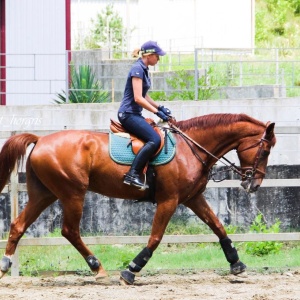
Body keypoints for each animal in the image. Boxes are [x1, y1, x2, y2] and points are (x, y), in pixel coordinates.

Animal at [0, 113, 276, 284]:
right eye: (265, 150)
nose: (254, 184)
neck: (190, 148)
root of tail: (40, 140)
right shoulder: (169, 200)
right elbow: (155, 238)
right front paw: (131, 270)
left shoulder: (193, 198)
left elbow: (218, 227)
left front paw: (236, 263)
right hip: (72, 193)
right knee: (69, 230)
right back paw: (97, 267)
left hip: (44, 194)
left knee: (18, 225)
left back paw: (5, 265)